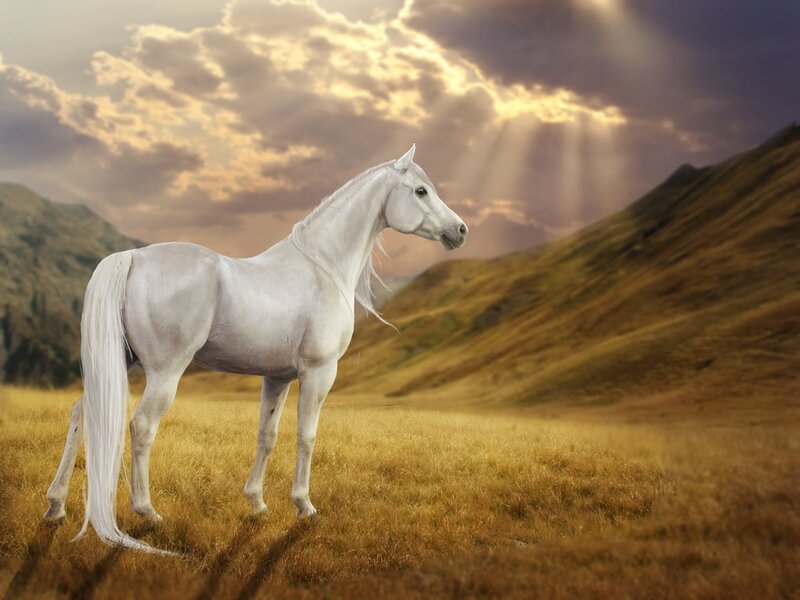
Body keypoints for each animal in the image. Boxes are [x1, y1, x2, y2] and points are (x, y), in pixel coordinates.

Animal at [42, 145, 468, 553]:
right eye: (421, 191)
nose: (460, 231)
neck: (323, 268)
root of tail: (132, 256)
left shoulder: (277, 377)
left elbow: (268, 434)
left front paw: (257, 503)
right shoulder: (319, 372)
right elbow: (307, 436)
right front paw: (304, 506)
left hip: (119, 363)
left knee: (82, 414)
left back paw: (55, 506)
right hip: (165, 372)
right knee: (143, 426)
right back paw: (148, 512)